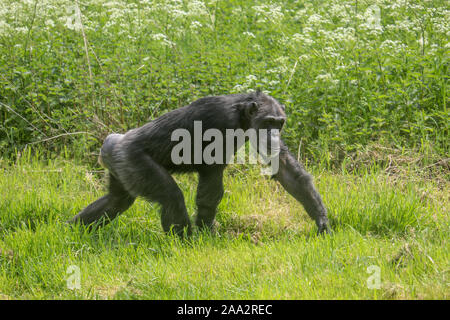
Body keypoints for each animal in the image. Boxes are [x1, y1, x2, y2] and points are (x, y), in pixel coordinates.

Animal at [70, 91, 330, 236]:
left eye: (279, 123)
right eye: (268, 122)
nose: (273, 134)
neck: (241, 115)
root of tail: (112, 143)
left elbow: (283, 167)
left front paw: (321, 220)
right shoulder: (220, 119)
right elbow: (211, 173)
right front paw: (204, 235)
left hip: (121, 167)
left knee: (116, 200)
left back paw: (74, 229)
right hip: (134, 161)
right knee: (171, 197)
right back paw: (184, 242)